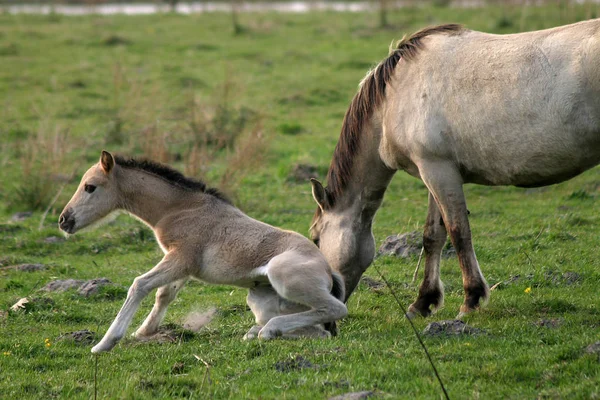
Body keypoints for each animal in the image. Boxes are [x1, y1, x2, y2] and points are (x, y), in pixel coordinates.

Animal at [59, 151, 346, 354]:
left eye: (90, 187)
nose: (64, 220)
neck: (179, 209)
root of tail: (328, 271)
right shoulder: (182, 266)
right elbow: (164, 295)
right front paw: (143, 332)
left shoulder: (180, 259)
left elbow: (140, 285)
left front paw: (105, 343)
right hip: (260, 299)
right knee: (320, 330)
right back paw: (259, 331)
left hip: (282, 276)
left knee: (335, 309)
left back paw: (267, 330)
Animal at [310, 20, 600, 318]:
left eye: (315, 240)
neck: (394, 97)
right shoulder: (434, 172)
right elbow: (432, 236)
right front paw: (423, 302)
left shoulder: (439, 172)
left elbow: (458, 232)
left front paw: (471, 299)